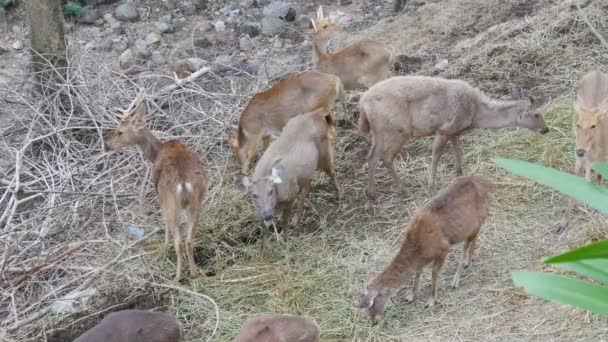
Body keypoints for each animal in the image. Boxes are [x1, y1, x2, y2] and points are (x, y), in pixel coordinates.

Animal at [236, 107, 340, 254]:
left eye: (270, 191)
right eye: (254, 195)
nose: (268, 215)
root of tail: (318, 113)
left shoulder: (290, 198)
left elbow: (284, 223)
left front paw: (286, 244)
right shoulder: (260, 210)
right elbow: (264, 230)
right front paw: (262, 253)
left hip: (323, 154)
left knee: (332, 172)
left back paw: (338, 195)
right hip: (306, 170)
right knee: (307, 186)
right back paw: (297, 218)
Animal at [356, 176, 494, 326]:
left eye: (372, 303)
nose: (374, 322)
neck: (418, 246)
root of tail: (487, 184)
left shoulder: (443, 248)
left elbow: (434, 273)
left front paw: (431, 301)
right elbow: (418, 272)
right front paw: (410, 296)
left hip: (474, 223)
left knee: (466, 245)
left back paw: (456, 279)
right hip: (473, 226)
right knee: (474, 238)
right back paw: (467, 263)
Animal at [358, 75, 548, 198]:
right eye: (536, 114)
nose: (545, 130)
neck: (474, 113)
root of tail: (363, 105)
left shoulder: (454, 131)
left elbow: (458, 149)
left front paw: (459, 173)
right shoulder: (444, 129)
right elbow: (436, 156)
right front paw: (431, 186)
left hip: (379, 132)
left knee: (372, 155)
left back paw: (372, 193)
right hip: (397, 130)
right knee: (386, 156)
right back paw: (403, 190)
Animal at [556, 71, 608, 234]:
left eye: (593, 125)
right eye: (578, 124)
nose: (580, 151)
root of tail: (597, 71)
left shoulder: (603, 160)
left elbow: (599, 180)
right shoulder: (578, 162)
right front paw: (562, 224)